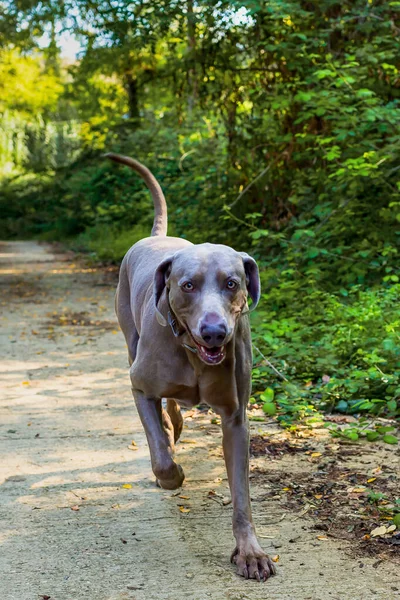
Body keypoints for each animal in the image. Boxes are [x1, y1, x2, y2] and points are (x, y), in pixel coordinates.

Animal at [106, 152, 276, 580]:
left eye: (232, 283)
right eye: (187, 285)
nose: (214, 332)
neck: (194, 356)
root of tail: (155, 236)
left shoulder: (236, 417)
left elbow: (242, 496)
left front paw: (250, 552)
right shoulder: (139, 386)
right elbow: (162, 458)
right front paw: (171, 470)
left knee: (175, 405)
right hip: (131, 339)